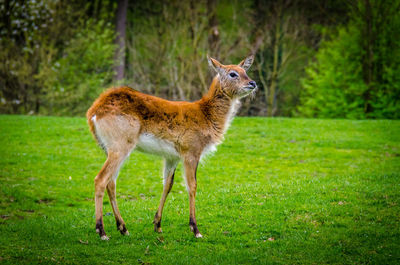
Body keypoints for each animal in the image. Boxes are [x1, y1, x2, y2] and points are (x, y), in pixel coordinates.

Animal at [86, 54, 256, 239]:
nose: (253, 83)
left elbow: (168, 185)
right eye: (233, 73)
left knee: (111, 182)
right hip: (121, 144)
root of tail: (93, 113)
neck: (206, 116)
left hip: (111, 147)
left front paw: (157, 225)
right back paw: (101, 231)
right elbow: (192, 186)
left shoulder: (172, 156)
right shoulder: (191, 150)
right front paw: (195, 229)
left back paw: (123, 228)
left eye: (245, 70)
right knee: (100, 179)